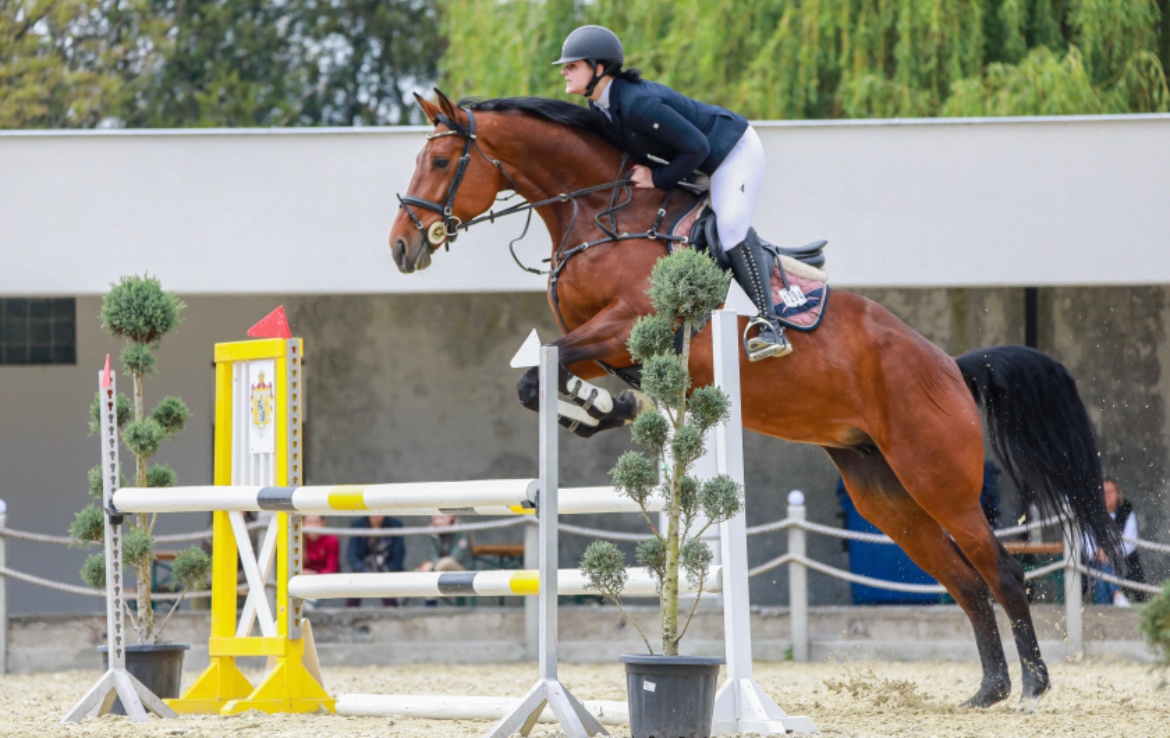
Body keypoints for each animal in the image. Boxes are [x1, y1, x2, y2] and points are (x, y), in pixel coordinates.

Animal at [388, 89, 1118, 711]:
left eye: (442, 160)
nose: (400, 247)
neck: (604, 215)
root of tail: (951, 368)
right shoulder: (604, 349)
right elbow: (543, 380)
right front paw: (604, 411)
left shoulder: (627, 326)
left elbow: (541, 377)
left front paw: (607, 410)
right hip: (884, 492)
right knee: (964, 581)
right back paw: (988, 690)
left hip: (939, 481)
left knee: (1002, 573)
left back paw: (1033, 688)